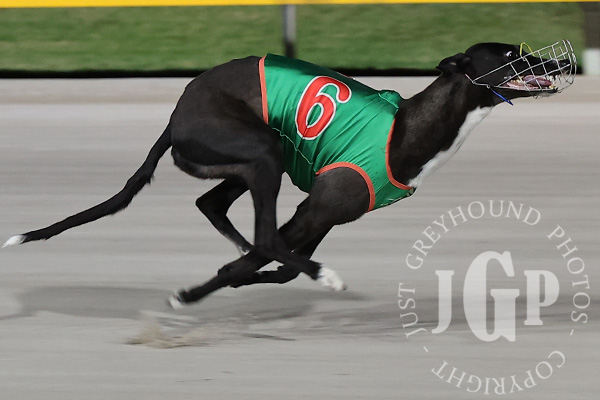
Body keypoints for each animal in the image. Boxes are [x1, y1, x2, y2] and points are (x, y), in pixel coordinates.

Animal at [3, 41, 575, 309]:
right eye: (510, 55)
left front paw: (230, 278)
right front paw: (191, 293)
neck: (408, 130)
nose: (567, 66)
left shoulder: (322, 214)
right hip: (261, 150)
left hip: (248, 161)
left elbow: (276, 264)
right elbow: (272, 253)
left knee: (216, 209)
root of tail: (176, 113)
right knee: (258, 233)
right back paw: (315, 274)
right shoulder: (315, 208)